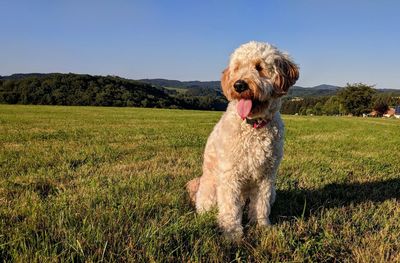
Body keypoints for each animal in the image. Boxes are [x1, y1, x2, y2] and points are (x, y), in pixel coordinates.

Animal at [186, 40, 298, 239]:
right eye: (237, 68)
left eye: (259, 67)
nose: (238, 85)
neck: (253, 126)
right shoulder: (230, 175)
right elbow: (230, 208)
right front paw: (232, 232)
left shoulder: (266, 176)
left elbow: (261, 205)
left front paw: (261, 226)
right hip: (211, 191)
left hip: (273, 192)